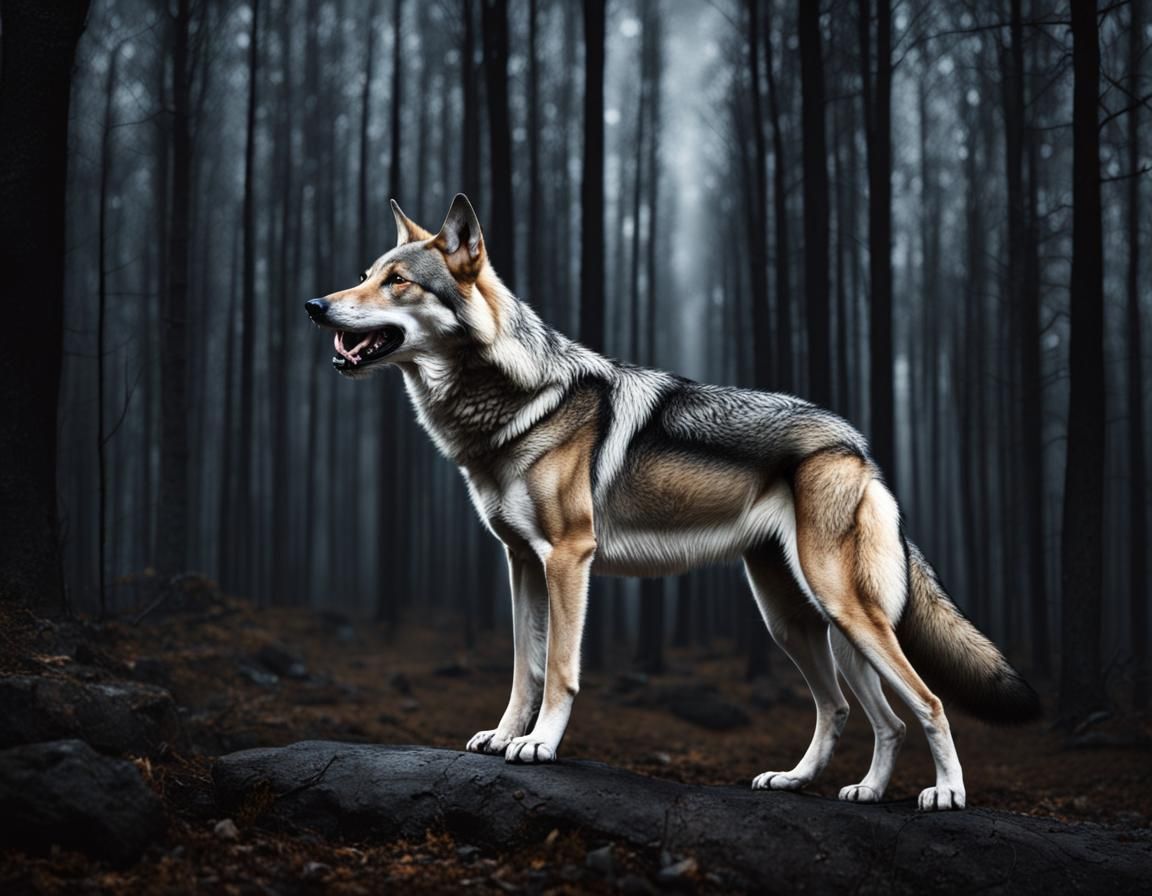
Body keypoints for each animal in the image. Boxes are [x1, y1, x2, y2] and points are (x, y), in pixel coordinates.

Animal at [305, 194, 1041, 811]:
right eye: (366, 273)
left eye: (397, 281)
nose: (315, 304)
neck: (514, 399)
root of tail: (858, 445)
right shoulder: (520, 563)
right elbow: (524, 667)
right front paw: (503, 735)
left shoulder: (569, 557)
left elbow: (561, 669)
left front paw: (539, 745)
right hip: (801, 622)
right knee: (856, 714)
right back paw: (830, 786)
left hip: (842, 610)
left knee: (928, 702)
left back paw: (946, 794)